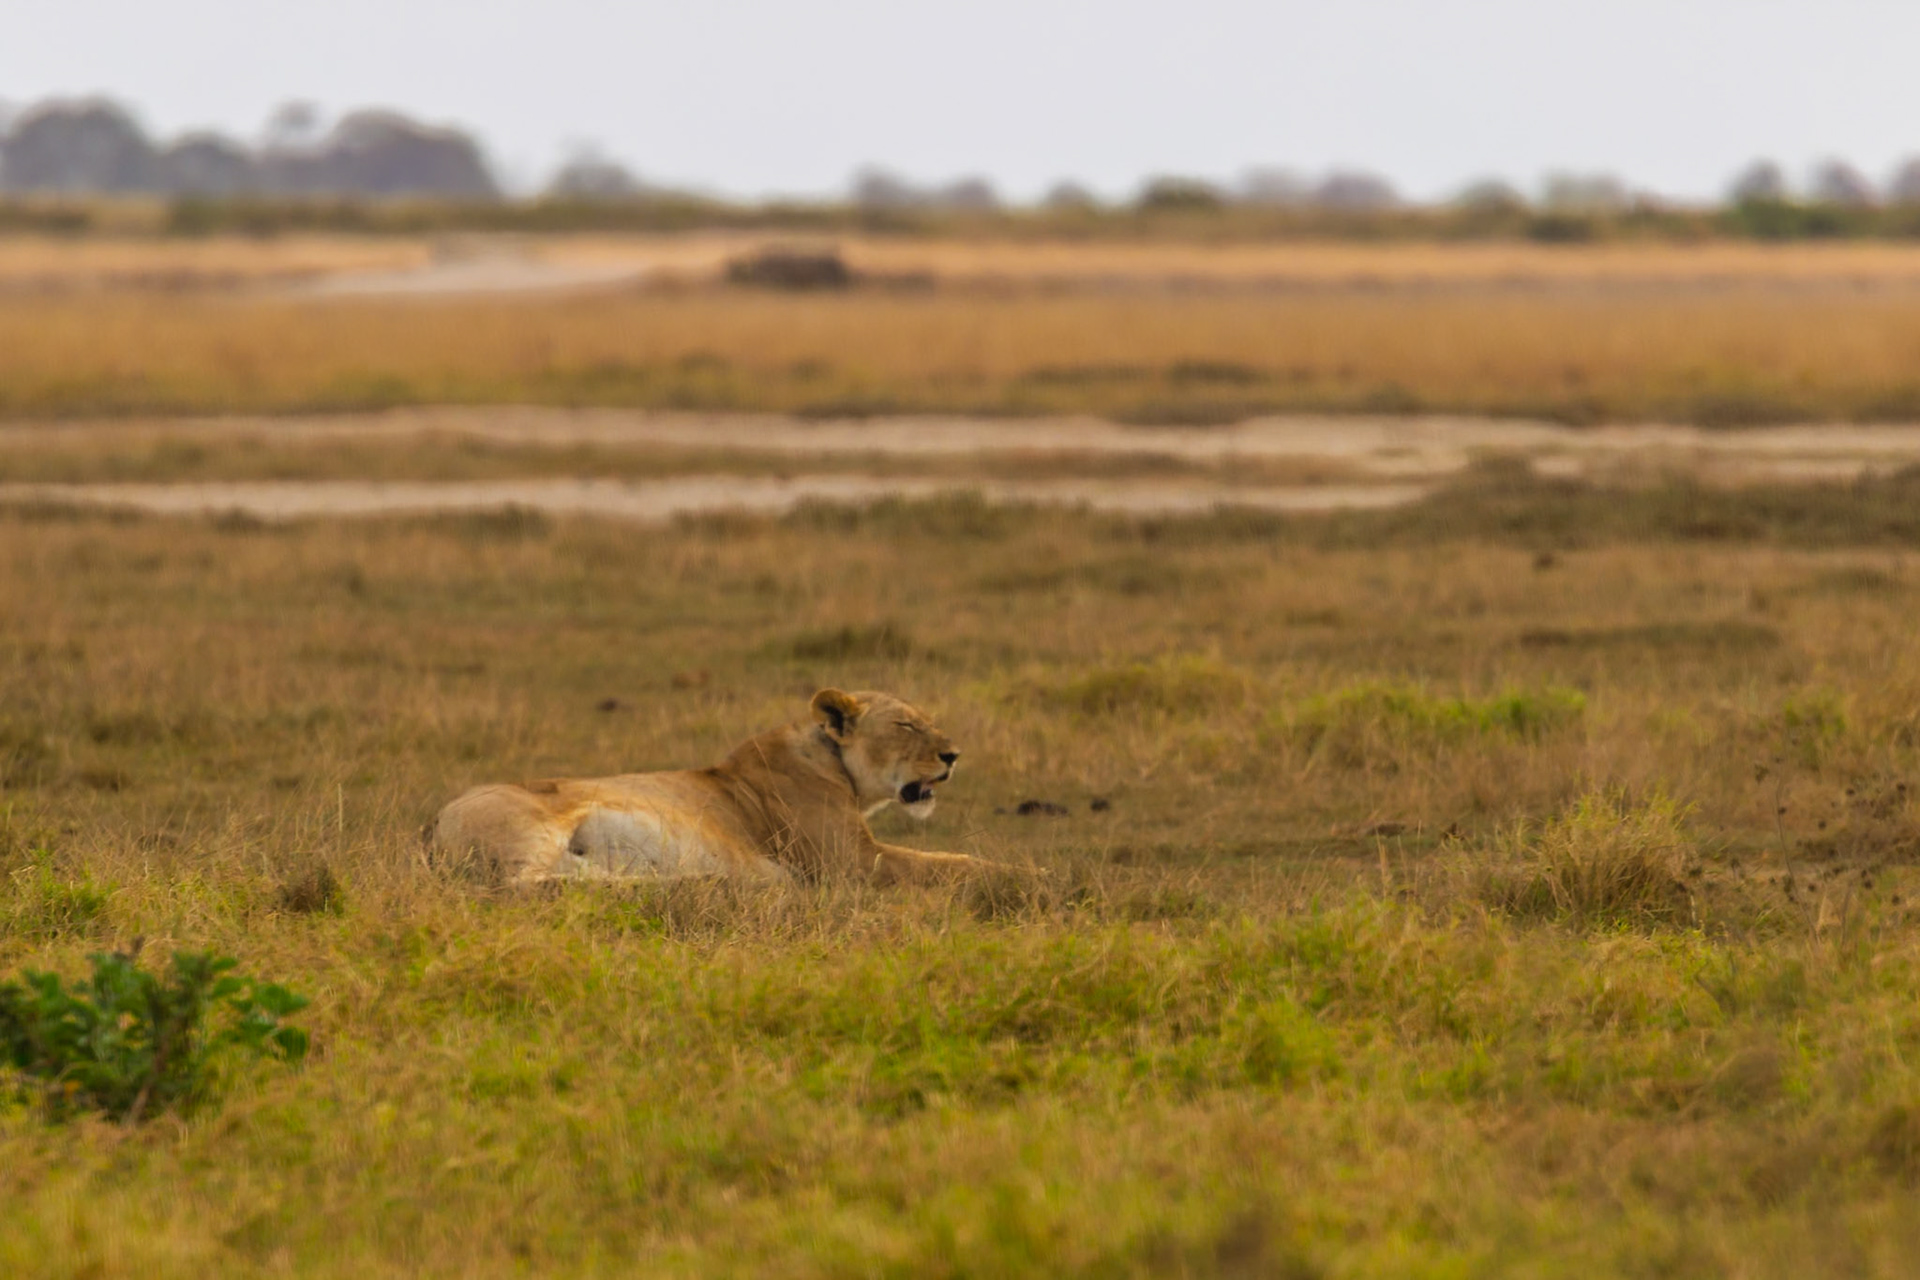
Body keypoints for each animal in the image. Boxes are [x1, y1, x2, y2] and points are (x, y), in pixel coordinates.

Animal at [425, 688, 988, 886]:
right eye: (906, 725)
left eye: (928, 721)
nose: (955, 755)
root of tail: (430, 831)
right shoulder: (852, 861)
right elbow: (950, 863)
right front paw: (1010, 874)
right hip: (535, 825)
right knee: (526, 885)